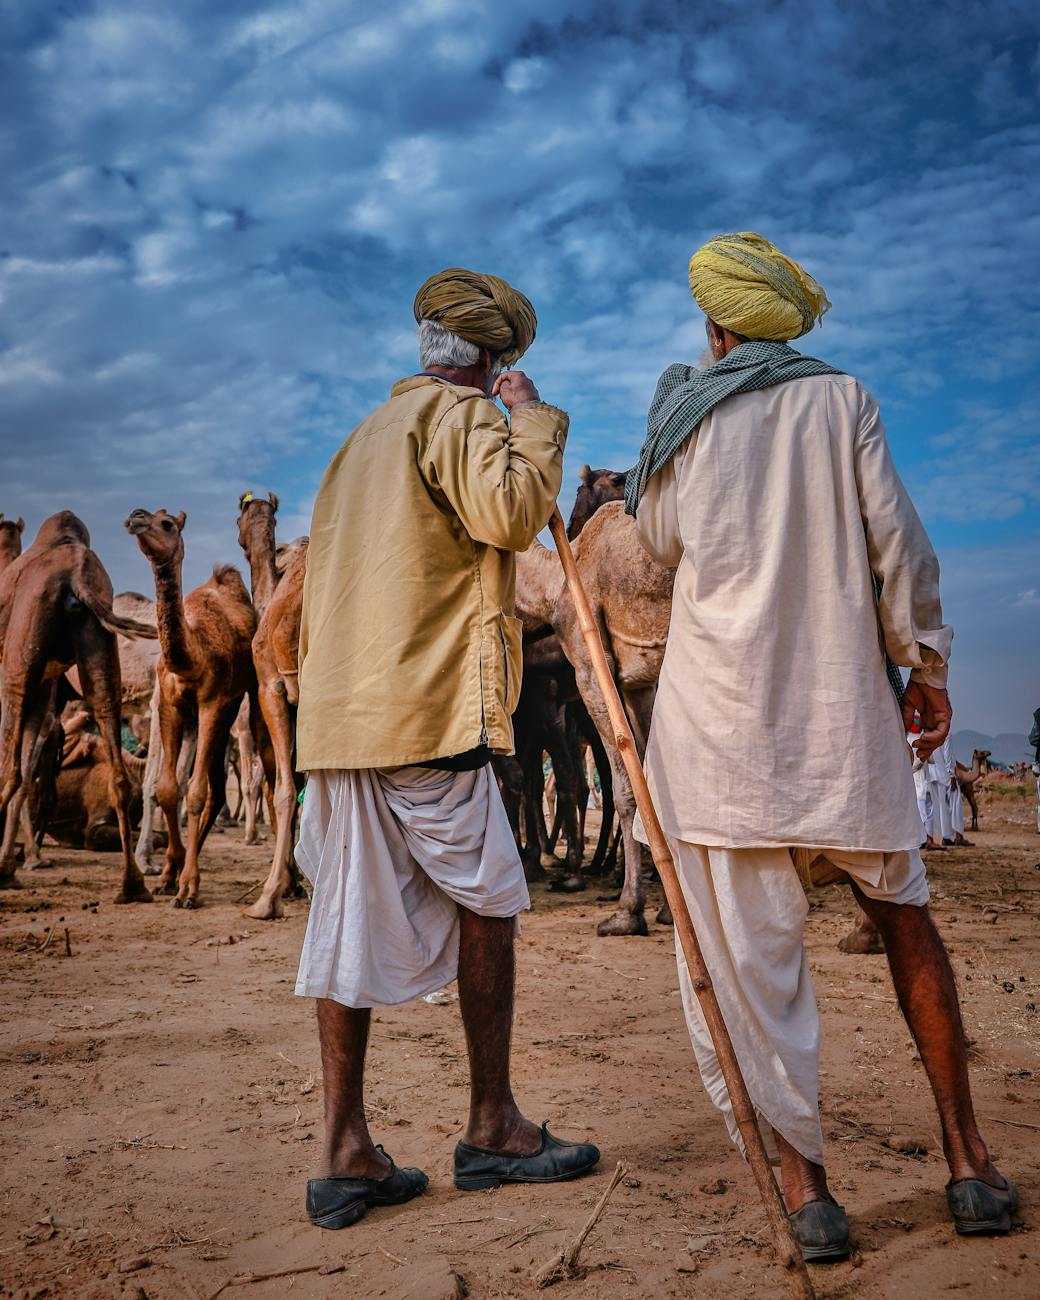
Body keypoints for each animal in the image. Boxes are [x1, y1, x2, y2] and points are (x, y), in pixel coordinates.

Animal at [0, 512, 156, 899]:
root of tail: (78, 577)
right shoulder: (46, 691)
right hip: (99, 647)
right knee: (116, 767)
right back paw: (133, 885)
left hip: (18, 666)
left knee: (8, 769)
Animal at [126, 501, 257, 909]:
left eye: (167, 523)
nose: (136, 516)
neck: (191, 657)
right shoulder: (170, 706)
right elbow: (169, 788)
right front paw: (167, 876)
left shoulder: (214, 703)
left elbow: (196, 792)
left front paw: (188, 887)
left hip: (233, 708)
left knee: (213, 787)